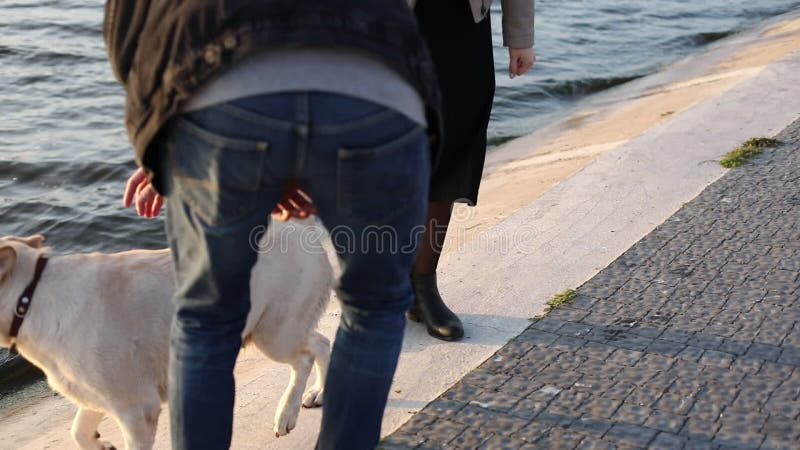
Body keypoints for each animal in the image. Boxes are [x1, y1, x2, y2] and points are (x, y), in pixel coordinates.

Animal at [0, 218, 332, 446]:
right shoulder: (97, 396)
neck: (30, 295)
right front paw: (101, 444)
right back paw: (320, 393)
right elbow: (78, 432)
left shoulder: (137, 410)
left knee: (304, 358)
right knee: (322, 343)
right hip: (283, 329)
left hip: (274, 334)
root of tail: (296, 223)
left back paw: (286, 414)